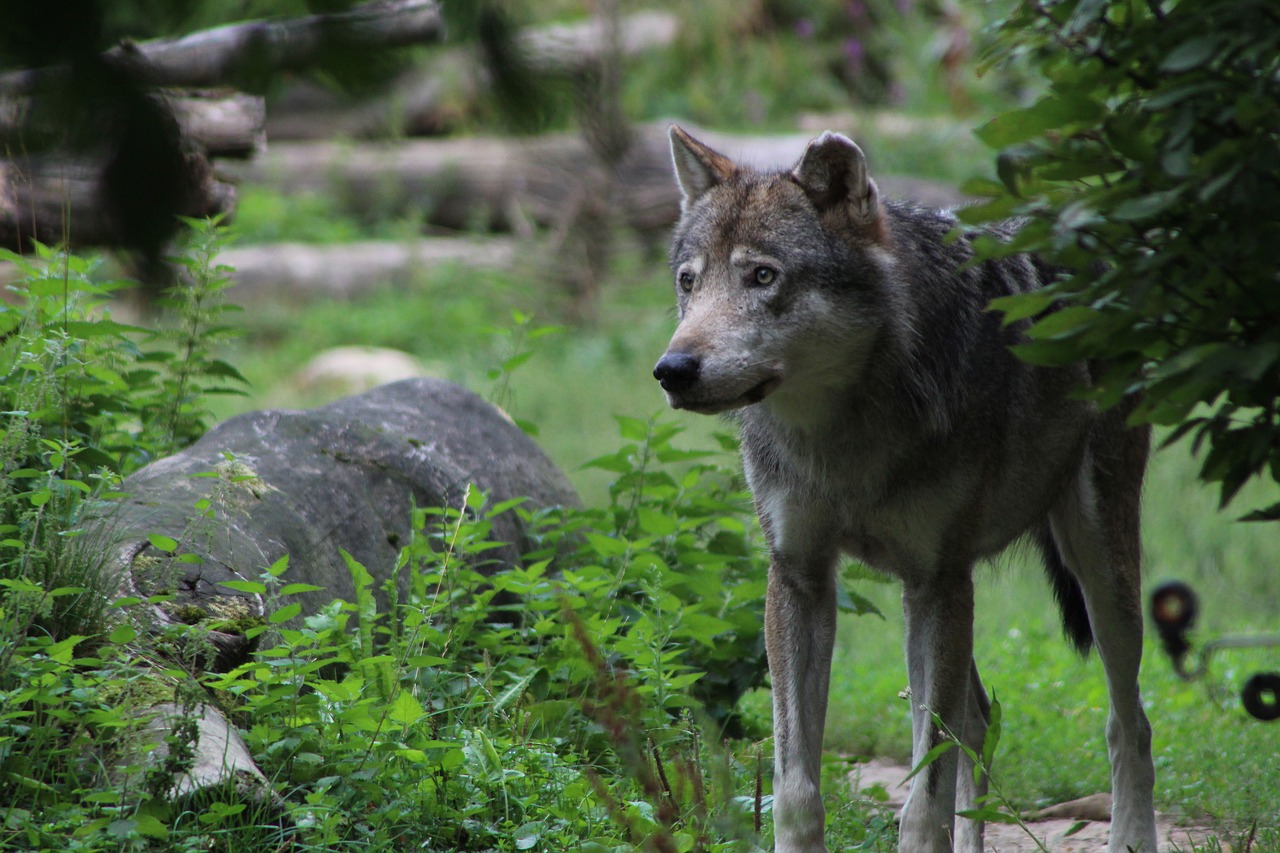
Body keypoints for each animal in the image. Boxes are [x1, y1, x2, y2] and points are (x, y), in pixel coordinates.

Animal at [650, 126, 1162, 850]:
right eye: (689, 282)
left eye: (762, 276)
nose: (673, 369)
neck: (845, 437)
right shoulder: (800, 578)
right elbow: (795, 787)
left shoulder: (935, 581)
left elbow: (925, 796)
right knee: (980, 718)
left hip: (1097, 570)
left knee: (1129, 724)